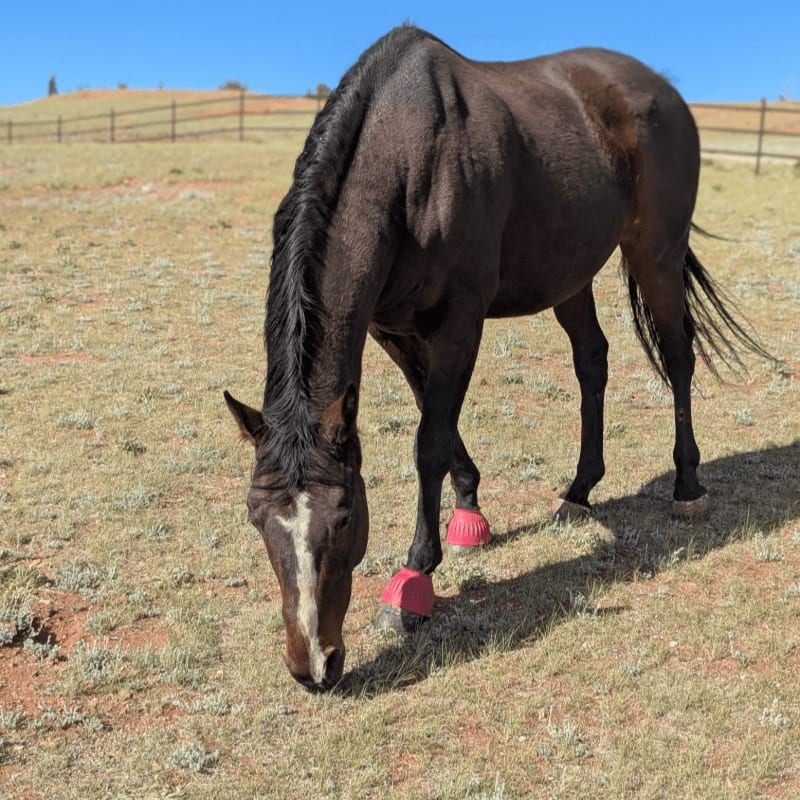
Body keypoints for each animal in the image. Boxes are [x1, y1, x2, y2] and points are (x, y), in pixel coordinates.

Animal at [224, 25, 769, 691]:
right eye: (257, 519)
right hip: (571, 273)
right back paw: (579, 490)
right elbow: (434, 415)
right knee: (592, 361)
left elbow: (429, 440)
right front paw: (469, 512)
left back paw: (688, 485)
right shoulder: (390, 327)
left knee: (678, 355)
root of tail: (658, 88)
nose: (314, 666)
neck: (408, 157)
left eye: (346, 515)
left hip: (655, 252)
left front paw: (412, 581)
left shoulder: (461, 319)